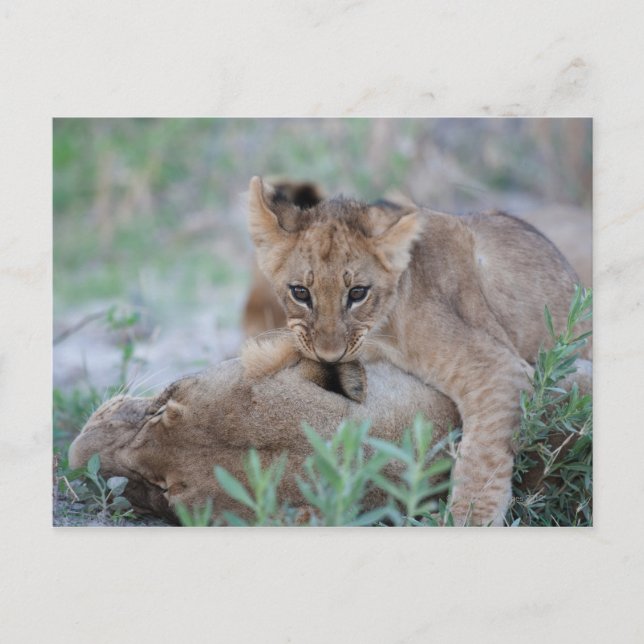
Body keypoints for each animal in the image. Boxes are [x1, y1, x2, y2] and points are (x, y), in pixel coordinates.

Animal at [246, 177, 591, 526]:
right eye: (300, 292)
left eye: (358, 293)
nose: (330, 356)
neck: (383, 327)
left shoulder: (499, 369)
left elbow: (482, 456)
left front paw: (466, 520)